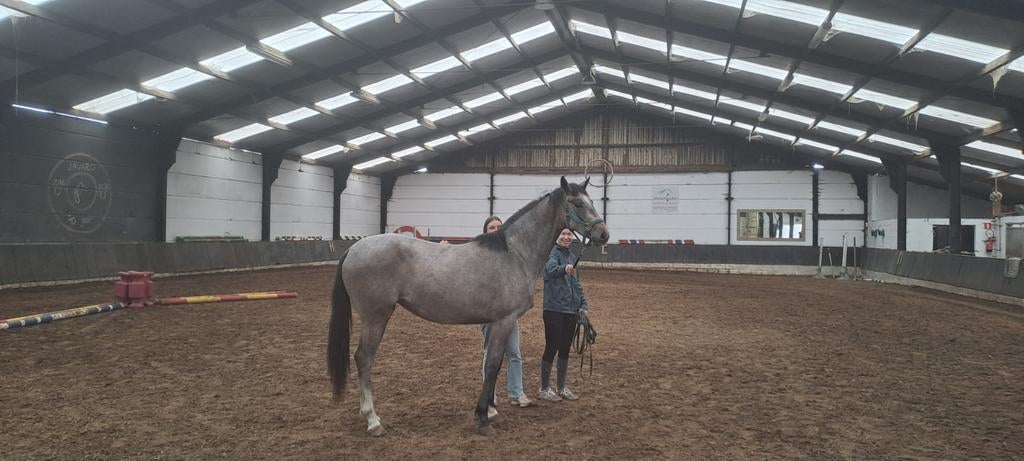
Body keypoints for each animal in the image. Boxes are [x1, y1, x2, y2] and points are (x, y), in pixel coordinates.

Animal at [327, 176, 610, 436]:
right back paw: (373, 421)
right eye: (577, 203)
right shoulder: (504, 320)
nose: (603, 234)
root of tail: (353, 249)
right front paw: (483, 417)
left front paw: (490, 410)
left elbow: (495, 365)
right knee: (364, 358)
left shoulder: (498, 322)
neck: (514, 253)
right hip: (376, 318)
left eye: (592, 202)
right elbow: (493, 365)